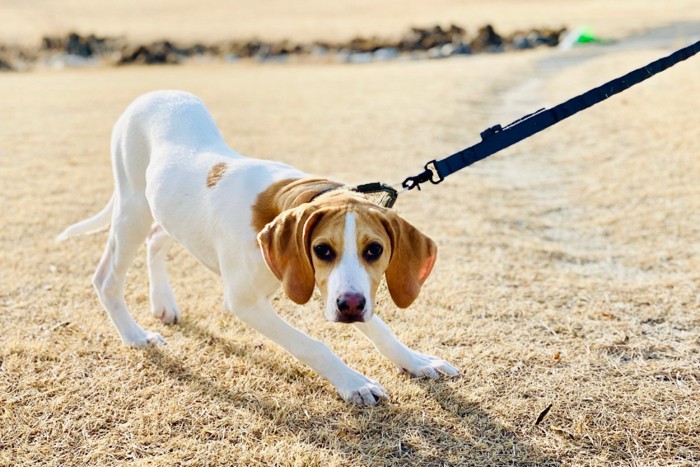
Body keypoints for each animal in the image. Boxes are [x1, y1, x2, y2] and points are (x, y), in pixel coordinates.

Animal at [60, 91, 460, 406]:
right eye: (323, 250)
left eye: (374, 250)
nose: (350, 307)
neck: (288, 198)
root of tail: (150, 95)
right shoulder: (246, 302)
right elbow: (313, 345)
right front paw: (354, 383)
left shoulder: (328, 285)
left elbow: (381, 329)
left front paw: (416, 361)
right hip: (133, 209)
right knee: (107, 277)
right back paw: (135, 336)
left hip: (166, 212)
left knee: (157, 239)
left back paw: (163, 303)